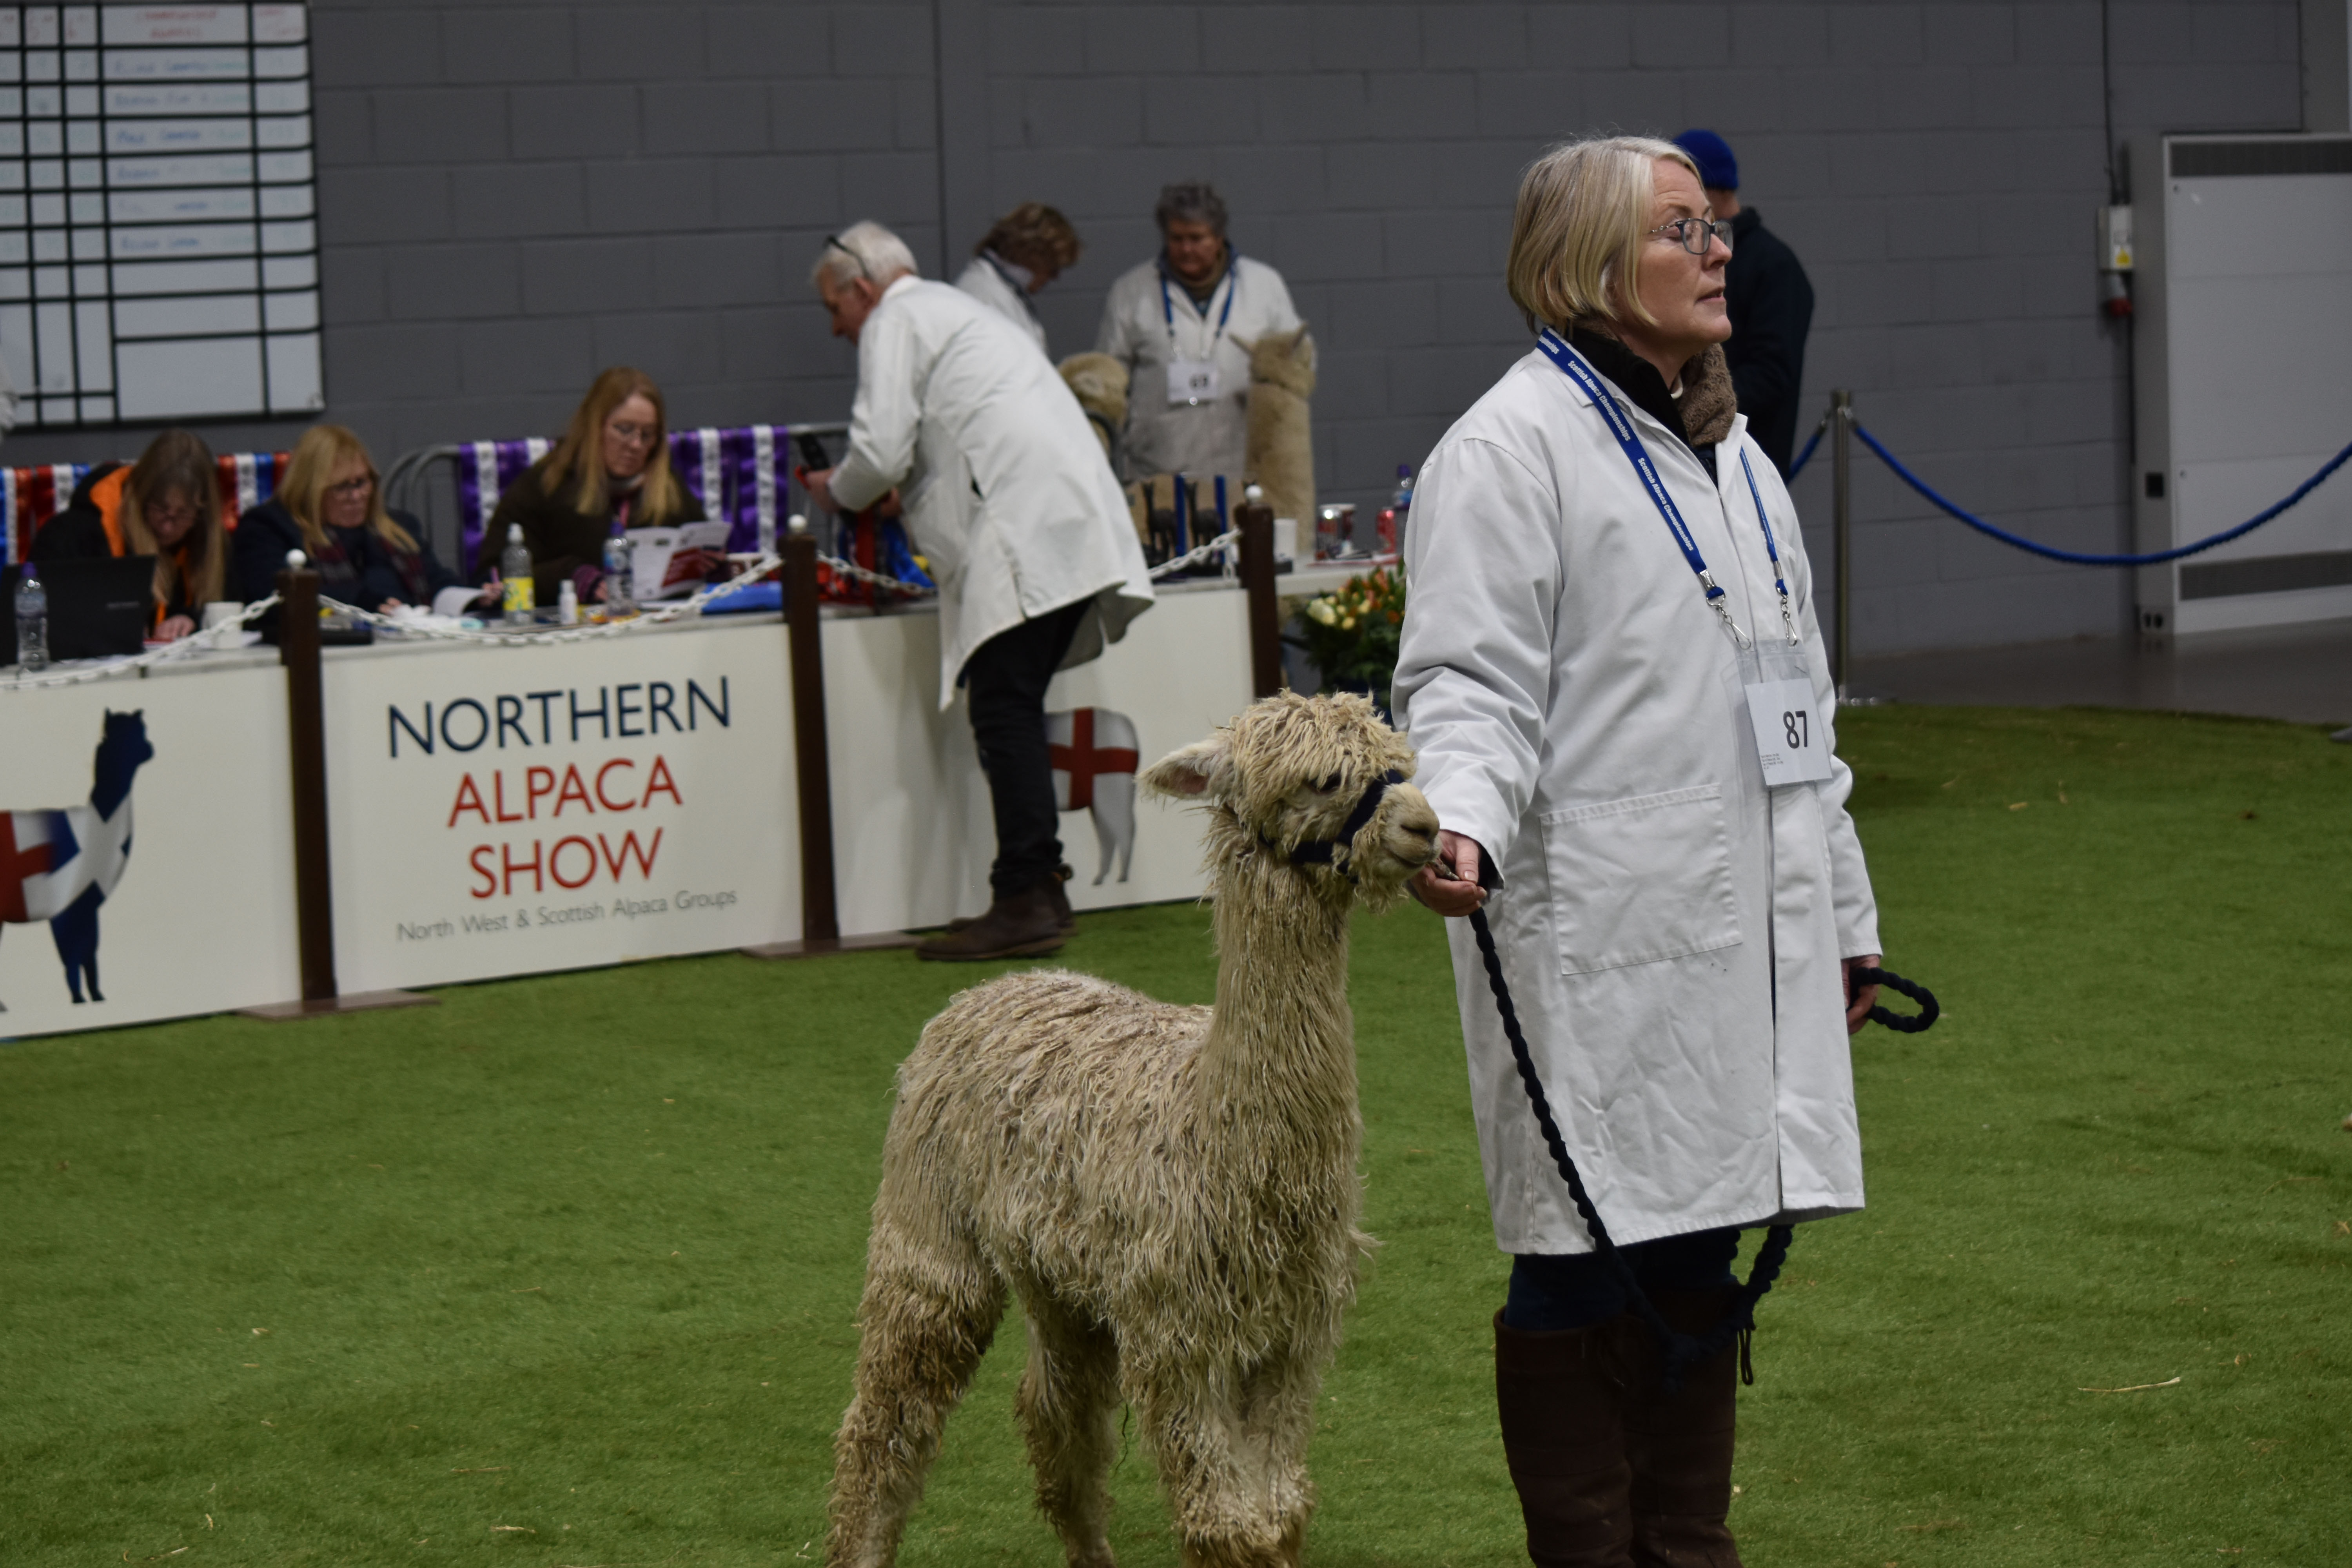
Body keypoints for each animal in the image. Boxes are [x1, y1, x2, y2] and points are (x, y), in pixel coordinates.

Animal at [827, 691, 1439, 1568]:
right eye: (1323, 779)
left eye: (1404, 765)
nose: (1424, 826)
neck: (1222, 1142)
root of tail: (999, 986)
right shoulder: (1178, 1329)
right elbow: (1228, 1526)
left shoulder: (1293, 1332)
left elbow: (1279, 1514)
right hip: (930, 1222)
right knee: (887, 1415)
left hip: (1061, 1282)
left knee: (1057, 1415)